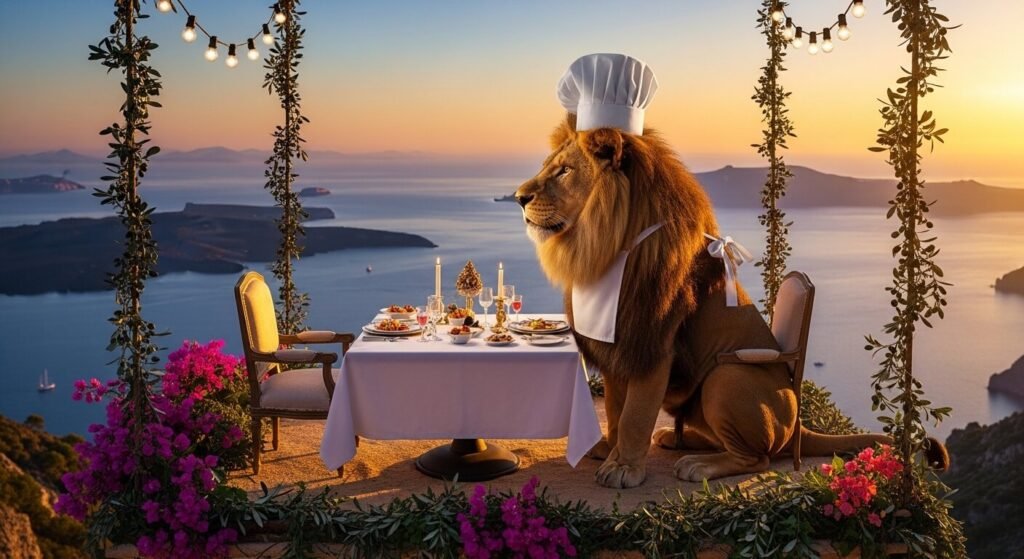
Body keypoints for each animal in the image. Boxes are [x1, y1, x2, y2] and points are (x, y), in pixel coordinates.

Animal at [514, 113, 949, 488]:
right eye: (549, 166)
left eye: (565, 171)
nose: (518, 197)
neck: (605, 250)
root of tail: (799, 425)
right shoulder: (618, 347)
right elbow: (617, 410)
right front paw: (609, 449)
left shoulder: (652, 343)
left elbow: (636, 413)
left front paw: (623, 468)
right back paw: (679, 441)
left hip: (727, 377)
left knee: (757, 457)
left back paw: (697, 464)